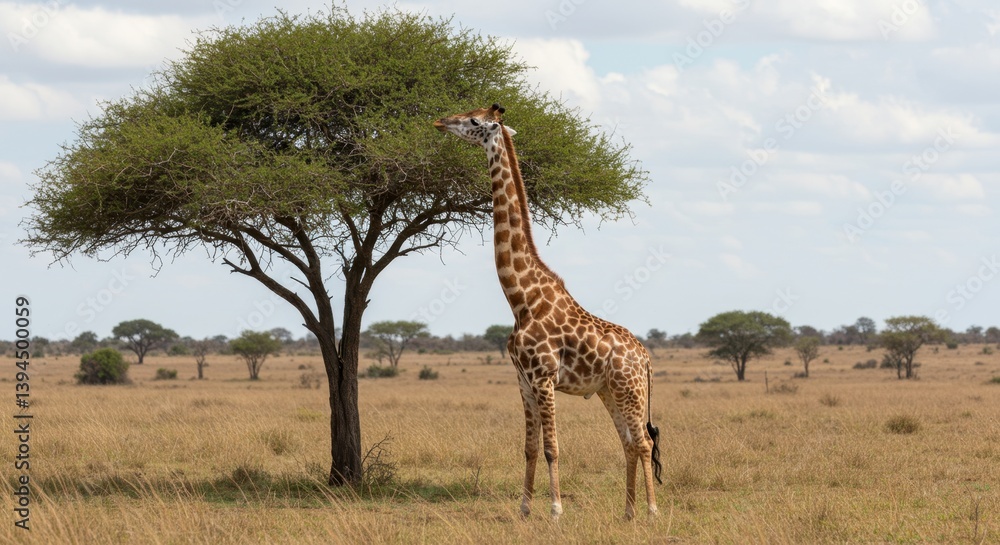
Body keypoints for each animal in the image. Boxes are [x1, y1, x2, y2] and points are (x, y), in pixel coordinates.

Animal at [434, 104, 663, 520]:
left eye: (475, 122)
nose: (441, 121)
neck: (522, 299)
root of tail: (645, 357)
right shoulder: (523, 381)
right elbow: (528, 448)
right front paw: (525, 509)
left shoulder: (543, 378)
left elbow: (552, 448)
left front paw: (555, 509)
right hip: (608, 391)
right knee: (627, 442)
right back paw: (628, 512)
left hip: (629, 389)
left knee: (643, 442)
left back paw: (651, 511)